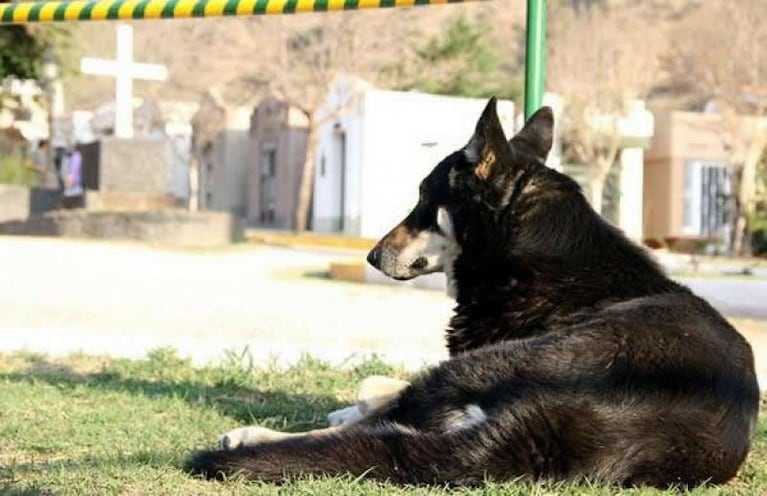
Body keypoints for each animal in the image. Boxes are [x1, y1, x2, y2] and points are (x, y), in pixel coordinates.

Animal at [188, 98, 760, 488]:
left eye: (424, 197)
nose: (371, 257)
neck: (524, 245)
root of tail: (556, 426)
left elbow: (377, 393)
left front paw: (349, 406)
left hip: (480, 365)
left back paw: (254, 436)